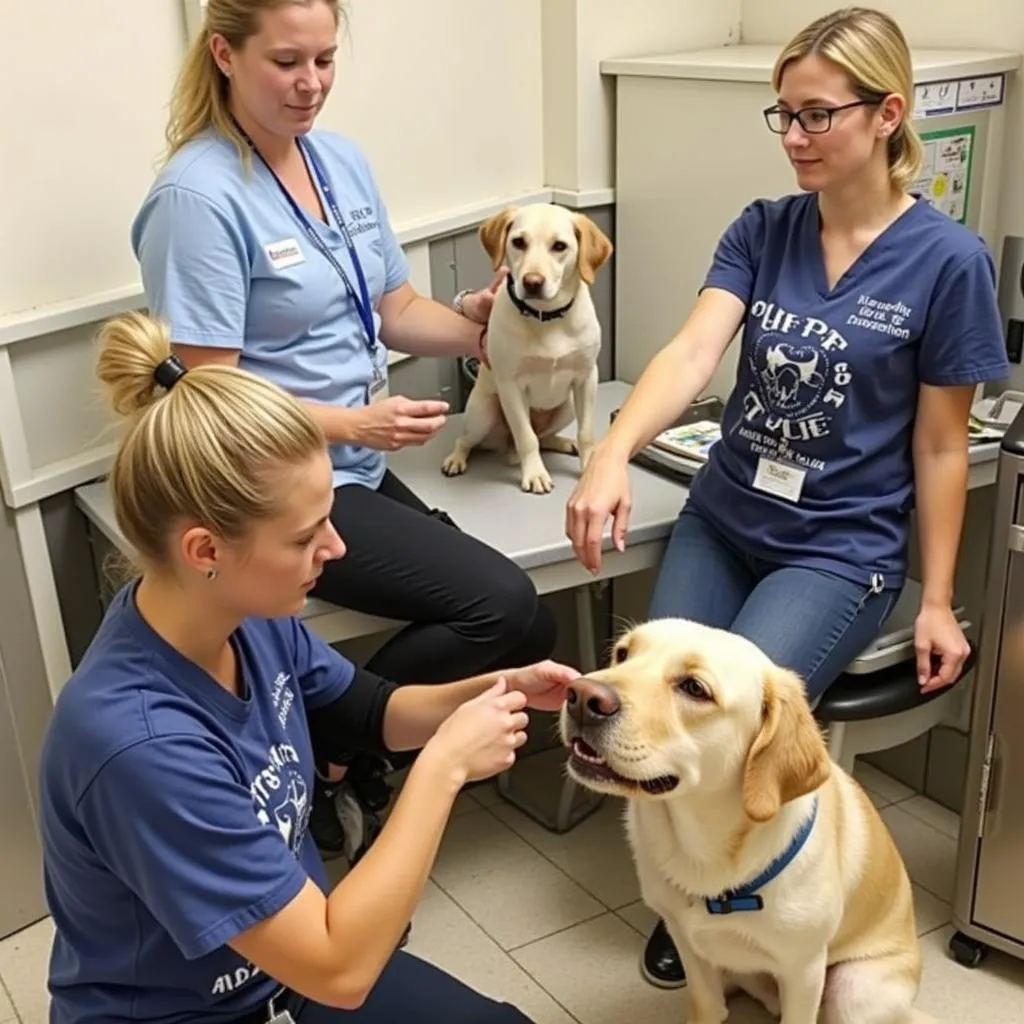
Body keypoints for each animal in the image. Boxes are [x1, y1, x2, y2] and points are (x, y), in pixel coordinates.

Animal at [438, 201, 610, 493]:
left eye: (560, 246)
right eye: (518, 242)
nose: (532, 282)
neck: (547, 317)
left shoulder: (587, 378)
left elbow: (586, 432)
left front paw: (589, 464)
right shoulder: (511, 387)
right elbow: (526, 437)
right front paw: (535, 474)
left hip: (567, 405)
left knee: (545, 436)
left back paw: (565, 443)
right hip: (483, 413)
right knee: (470, 440)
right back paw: (456, 459)